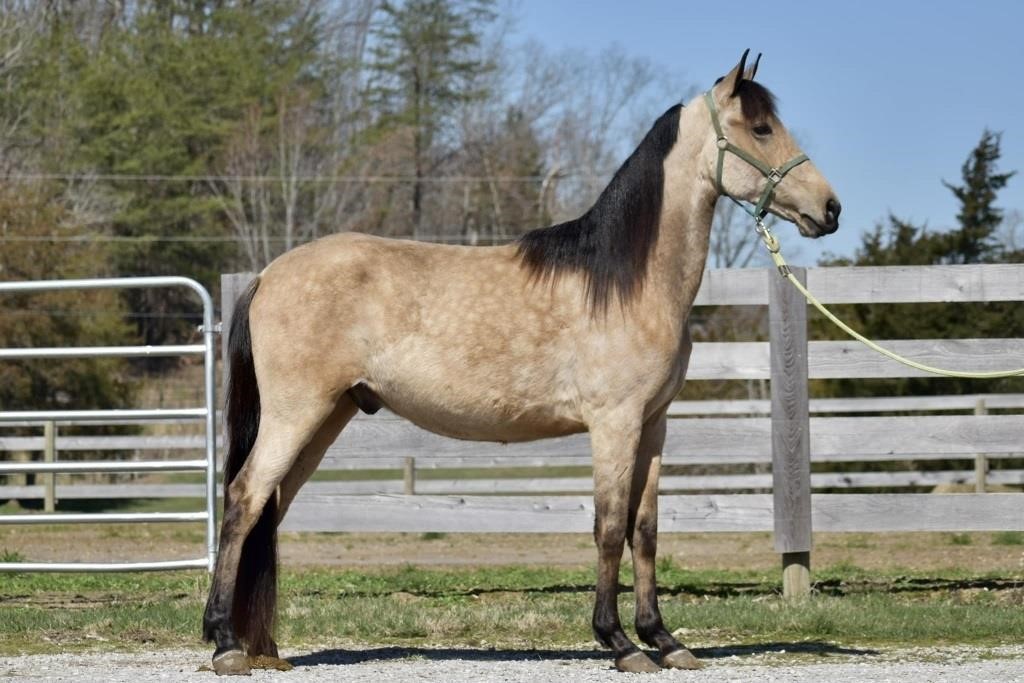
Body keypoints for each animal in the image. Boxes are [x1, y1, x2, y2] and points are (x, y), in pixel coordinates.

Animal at [201, 50, 839, 675]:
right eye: (761, 127)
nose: (830, 208)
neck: (626, 282)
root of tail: (268, 274)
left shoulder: (653, 425)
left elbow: (644, 530)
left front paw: (665, 639)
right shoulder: (614, 423)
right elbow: (609, 527)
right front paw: (620, 643)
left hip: (326, 417)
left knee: (269, 508)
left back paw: (264, 648)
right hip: (297, 413)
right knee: (243, 500)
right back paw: (226, 643)